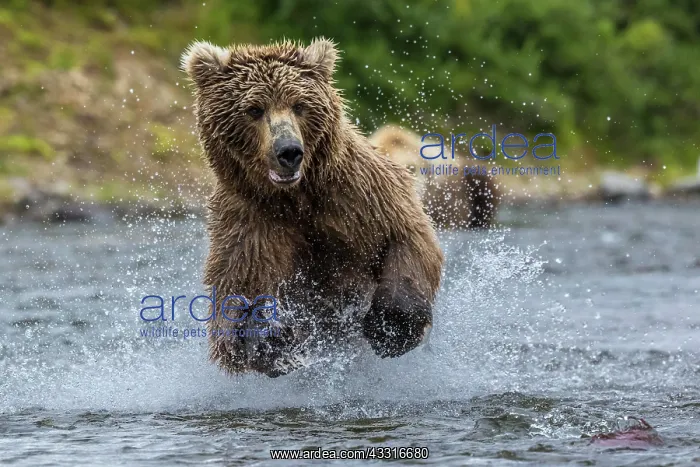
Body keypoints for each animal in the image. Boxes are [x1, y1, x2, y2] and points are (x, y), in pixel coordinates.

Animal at [181, 38, 444, 377]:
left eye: (299, 105)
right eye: (255, 109)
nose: (289, 151)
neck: (295, 198)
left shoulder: (359, 197)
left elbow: (409, 236)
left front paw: (390, 327)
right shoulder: (251, 221)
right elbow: (237, 292)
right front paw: (268, 337)